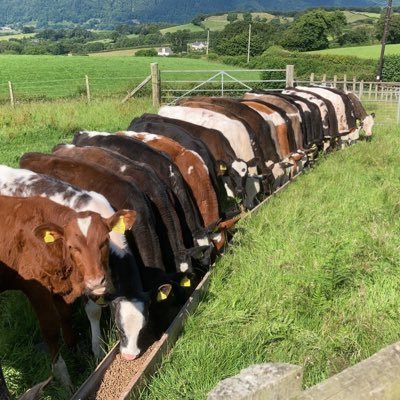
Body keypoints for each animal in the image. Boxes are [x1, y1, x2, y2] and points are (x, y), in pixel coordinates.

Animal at [0, 195, 135, 390]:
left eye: (105, 241)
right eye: (71, 246)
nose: (96, 282)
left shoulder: (61, 289)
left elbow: (66, 315)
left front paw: (75, 350)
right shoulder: (36, 289)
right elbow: (50, 329)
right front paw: (64, 377)